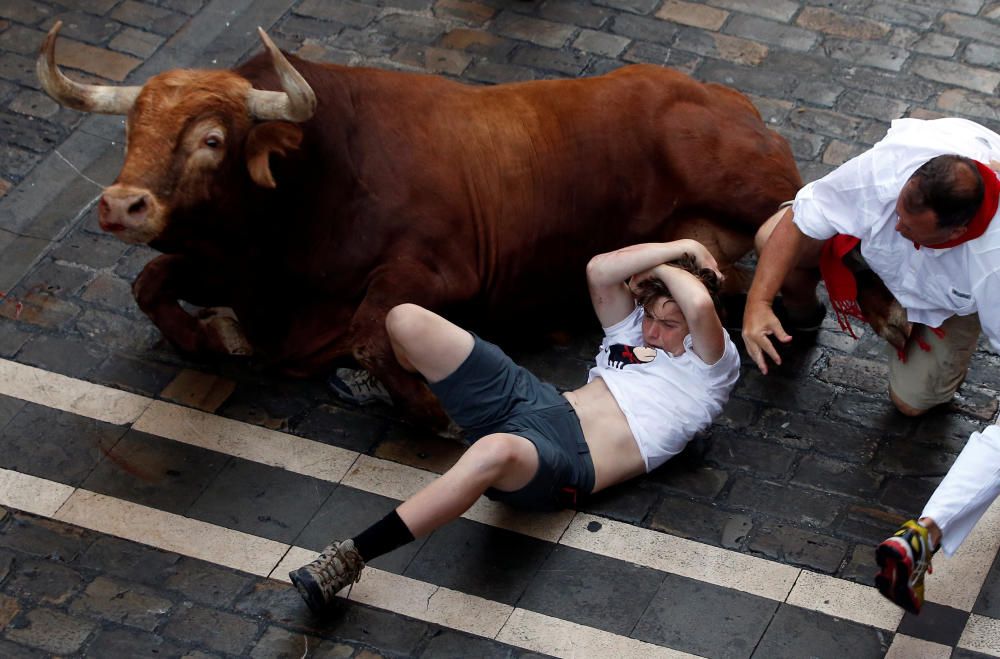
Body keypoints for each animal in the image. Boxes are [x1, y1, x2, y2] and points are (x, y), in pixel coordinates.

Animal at [39, 21, 800, 428]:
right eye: (131, 129)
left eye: (211, 140)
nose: (122, 204)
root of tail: (720, 96)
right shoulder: (225, 259)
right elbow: (150, 282)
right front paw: (210, 335)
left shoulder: (438, 271)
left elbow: (373, 334)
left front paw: (433, 411)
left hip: (753, 190)